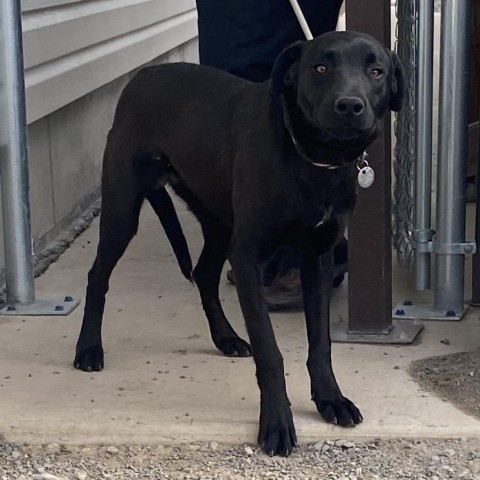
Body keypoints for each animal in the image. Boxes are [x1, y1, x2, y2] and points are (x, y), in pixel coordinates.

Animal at [74, 31, 404, 458]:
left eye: (376, 71)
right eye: (320, 67)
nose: (349, 105)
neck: (312, 162)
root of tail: (141, 76)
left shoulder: (318, 258)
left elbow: (321, 345)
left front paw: (331, 399)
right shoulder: (248, 259)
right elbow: (270, 352)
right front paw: (277, 423)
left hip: (217, 223)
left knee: (203, 274)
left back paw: (226, 338)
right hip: (122, 210)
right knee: (97, 275)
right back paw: (88, 349)